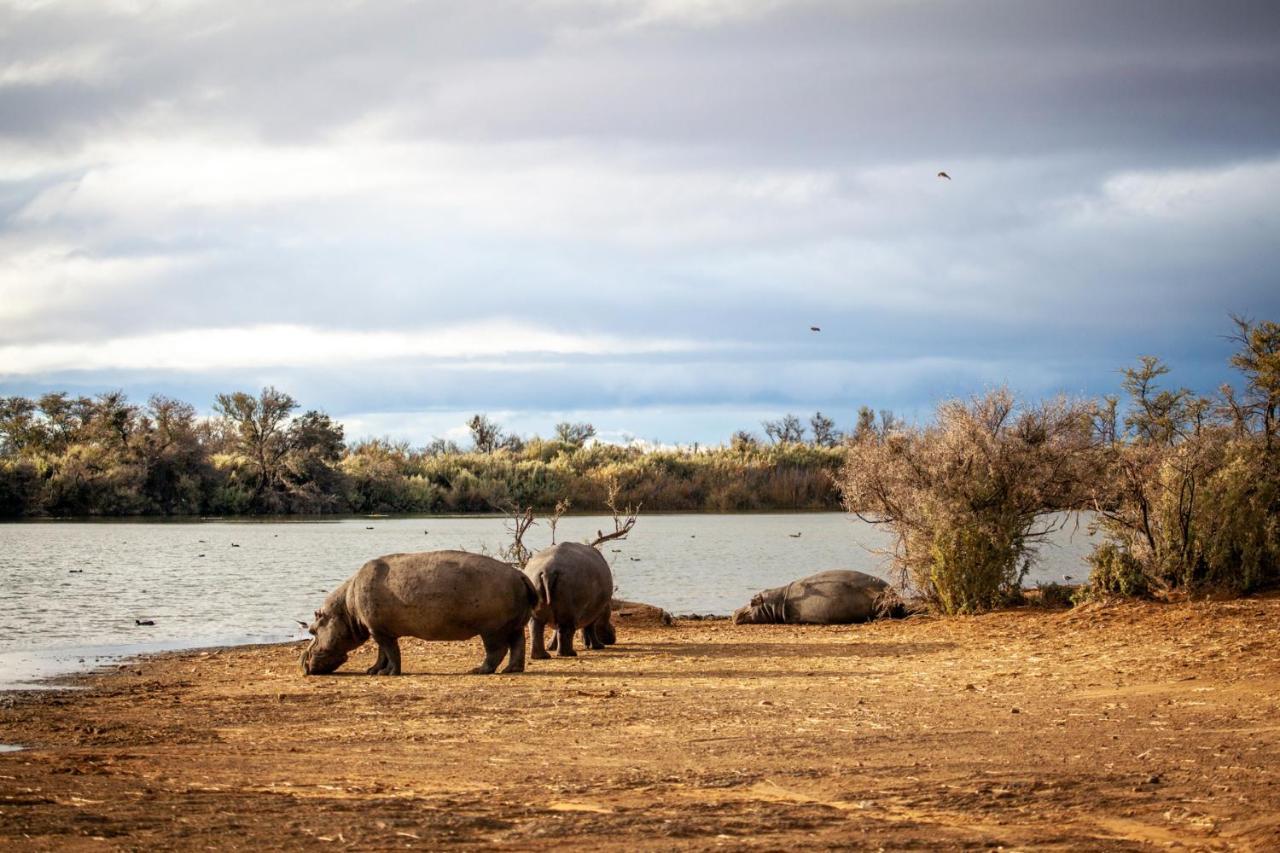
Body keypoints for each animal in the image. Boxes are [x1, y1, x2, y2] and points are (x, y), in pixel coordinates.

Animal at [299, 548, 535, 676]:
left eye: (312, 630)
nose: (302, 664)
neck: (346, 608)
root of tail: (520, 574)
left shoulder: (380, 632)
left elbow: (391, 653)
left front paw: (388, 673)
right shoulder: (379, 630)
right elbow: (382, 653)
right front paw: (373, 671)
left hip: (491, 630)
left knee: (496, 650)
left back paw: (478, 670)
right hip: (514, 625)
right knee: (518, 644)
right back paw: (511, 670)